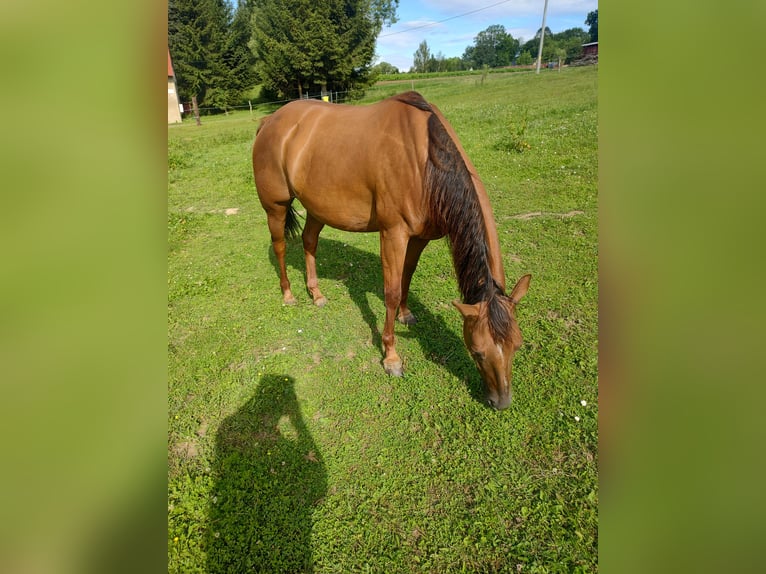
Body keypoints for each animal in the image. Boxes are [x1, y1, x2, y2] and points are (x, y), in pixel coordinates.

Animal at [255, 91, 532, 410]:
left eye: (517, 345)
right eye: (476, 351)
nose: (501, 401)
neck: (424, 161)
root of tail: (269, 120)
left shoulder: (420, 237)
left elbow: (407, 276)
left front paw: (406, 315)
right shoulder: (393, 234)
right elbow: (391, 291)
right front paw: (391, 358)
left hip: (317, 208)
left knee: (309, 242)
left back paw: (317, 294)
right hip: (275, 206)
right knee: (280, 246)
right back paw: (289, 295)